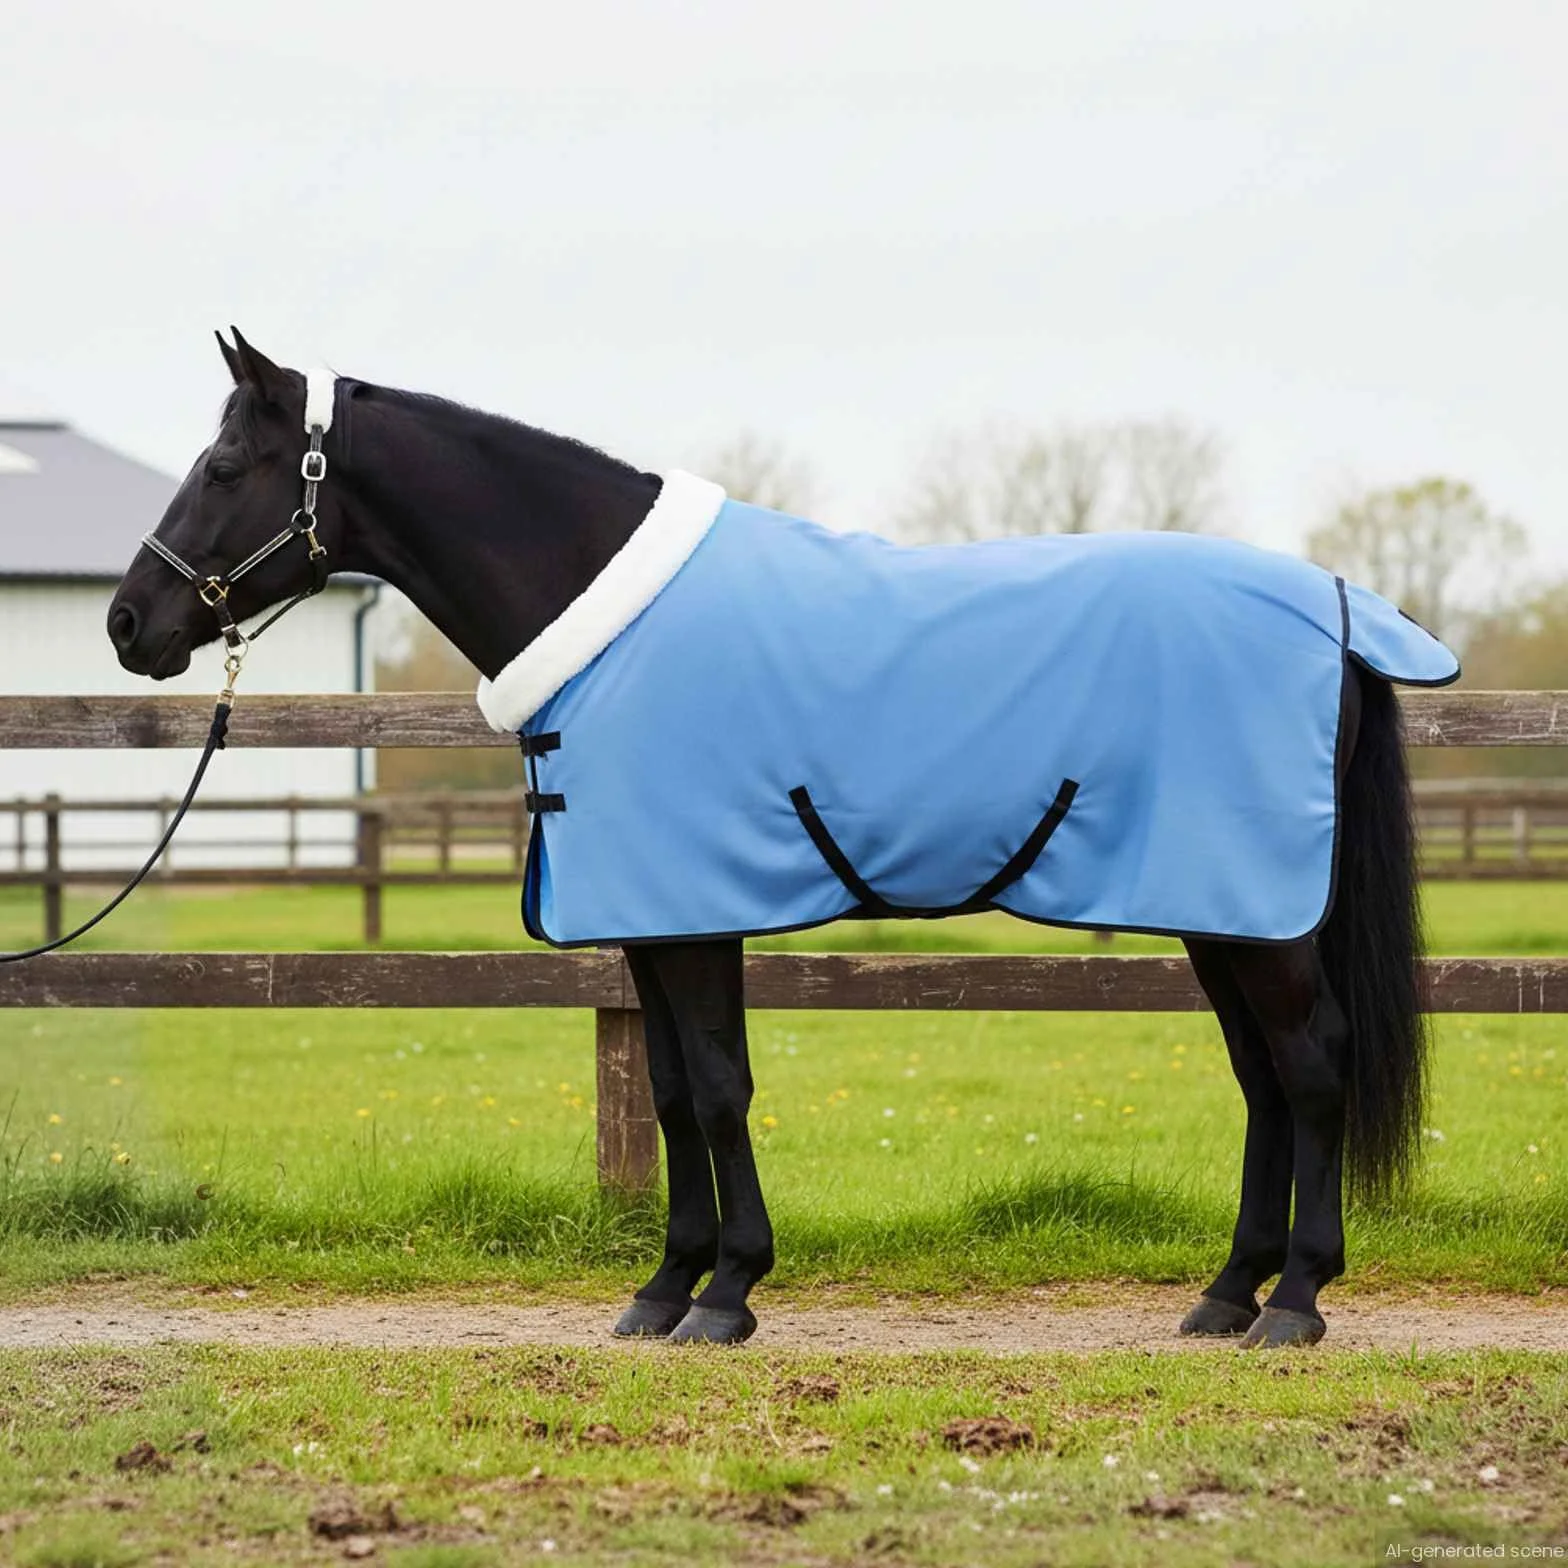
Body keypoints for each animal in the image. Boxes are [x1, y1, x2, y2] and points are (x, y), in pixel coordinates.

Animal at [107, 330, 1457, 1350]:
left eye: (224, 462)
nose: (129, 621)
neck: (603, 617)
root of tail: (1338, 610)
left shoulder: (694, 911)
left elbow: (715, 1088)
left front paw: (727, 1293)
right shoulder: (647, 920)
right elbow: (666, 1091)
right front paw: (664, 1288)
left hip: (1256, 914)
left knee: (1312, 1065)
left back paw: (1294, 1299)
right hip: (1218, 907)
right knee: (1262, 1078)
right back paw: (1225, 1293)